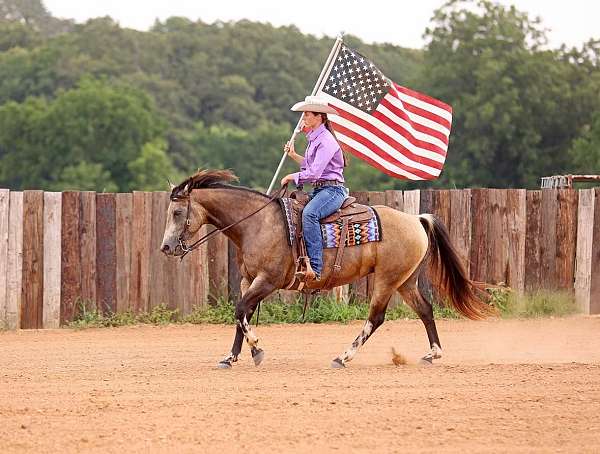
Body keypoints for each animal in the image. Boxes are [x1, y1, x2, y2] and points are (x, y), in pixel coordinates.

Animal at [159, 169, 492, 368]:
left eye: (177, 212)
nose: (166, 247)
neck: (257, 224)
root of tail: (416, 219)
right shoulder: (248, 280)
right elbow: (243, 313)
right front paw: (231, 357)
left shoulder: (267, 281)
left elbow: (241, 310)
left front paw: (256, 349)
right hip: (405, 280)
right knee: (425, 309)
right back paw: (433, 353)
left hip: (387, 279)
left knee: (376, 318)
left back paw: (343, 356)